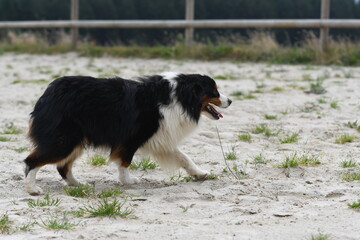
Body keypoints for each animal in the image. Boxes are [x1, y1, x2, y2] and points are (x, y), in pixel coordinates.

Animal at [23, 72, 232, 195]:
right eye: (214, 91)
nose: (230, 101)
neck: (181, 97)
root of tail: (47, 94)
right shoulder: (132, 137)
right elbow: (125, 161)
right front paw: (128, 181)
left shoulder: (161, 137)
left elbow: (184, 157)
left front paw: (200, 174)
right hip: (63, 141)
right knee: (31, 161)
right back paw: (33, 189)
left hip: (75, 141)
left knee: (62, 167)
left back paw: (79, 185)